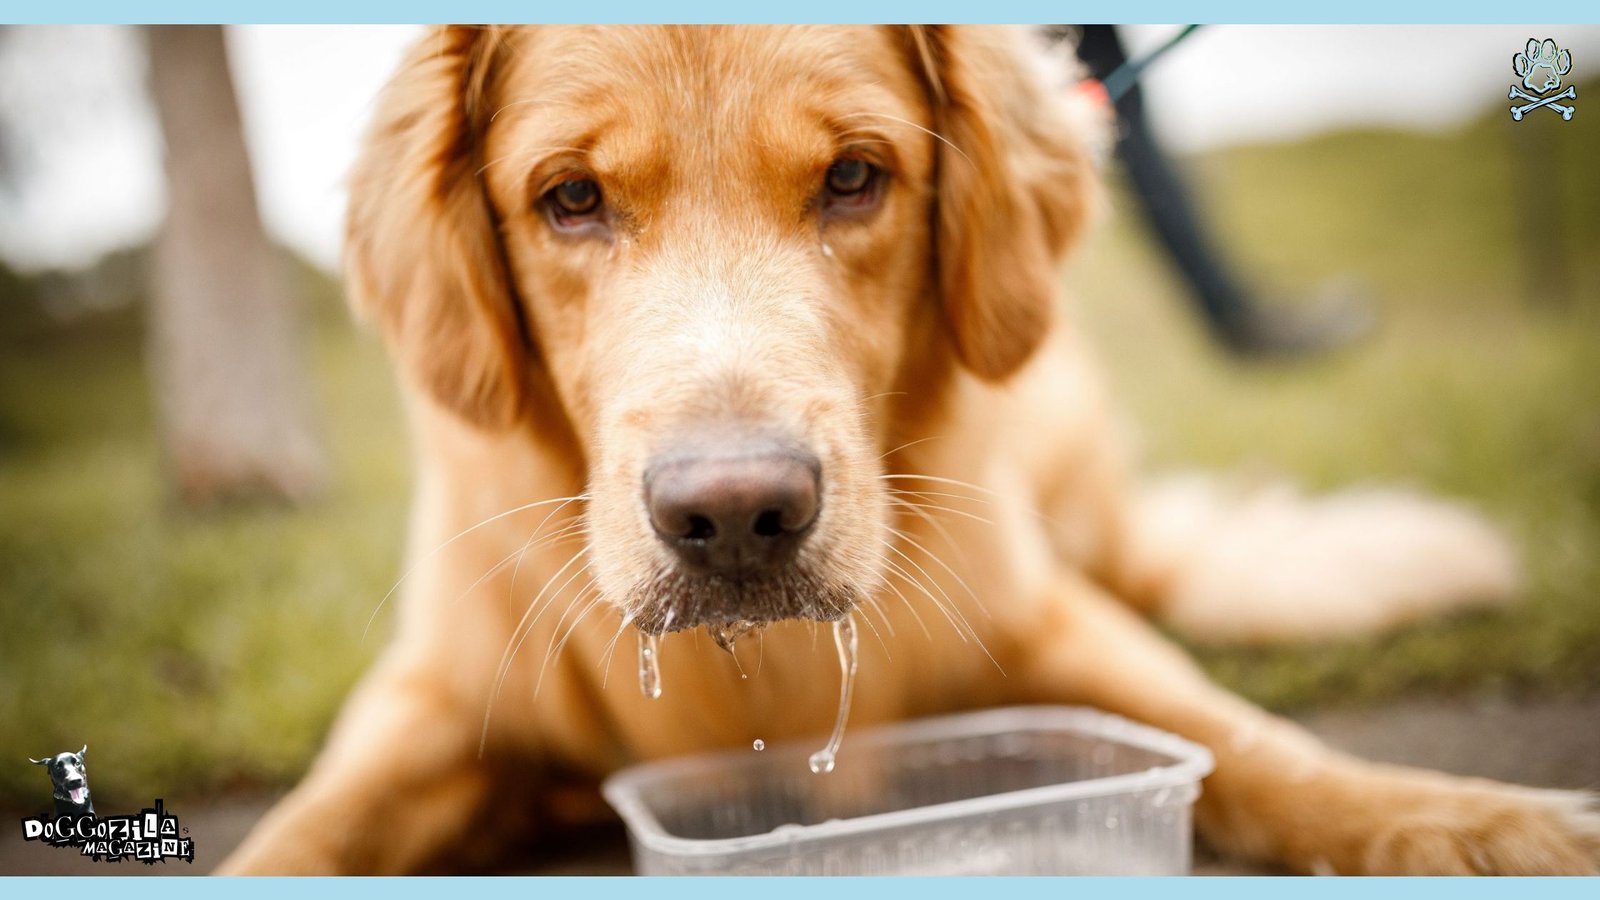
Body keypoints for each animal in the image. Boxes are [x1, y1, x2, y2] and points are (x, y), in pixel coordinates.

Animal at [222, 24, 1600, 871]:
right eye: (570, 198)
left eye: (852, 178)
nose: (737, 517)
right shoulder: (426, 699)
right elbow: (296, 836)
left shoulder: (1045, 619)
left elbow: (1262, 746)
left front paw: (1486, 825)